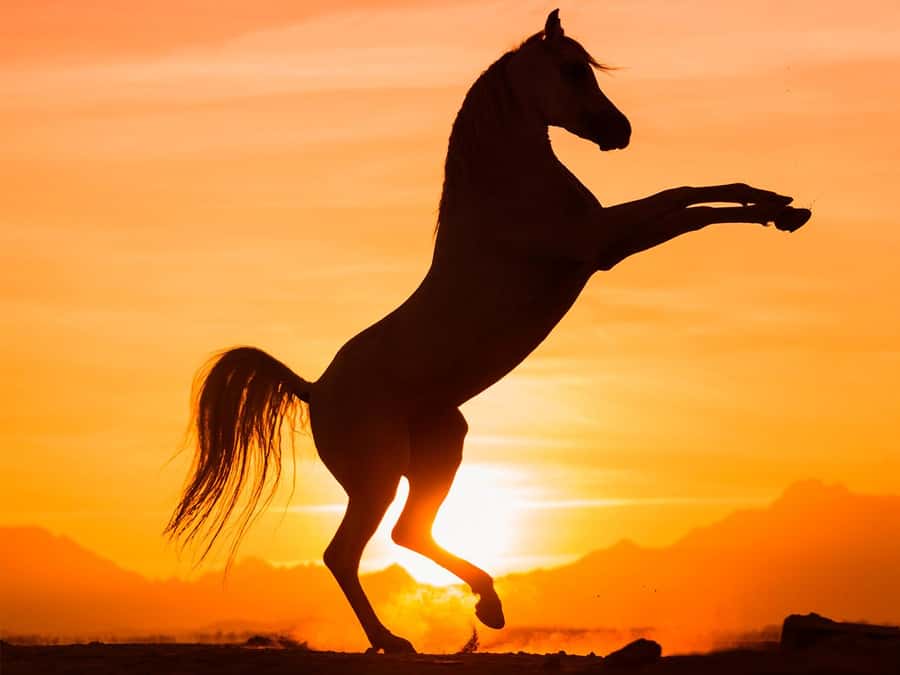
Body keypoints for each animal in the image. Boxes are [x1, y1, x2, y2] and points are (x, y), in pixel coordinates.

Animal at [165, 9, 811, 654]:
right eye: (572, 70)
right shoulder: (604, 242)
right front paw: (779, 212)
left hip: (440, 449)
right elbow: (685, 204)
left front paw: (786, 207)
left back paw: (489, 604)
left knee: (408, 533)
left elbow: (691, 195)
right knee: (345, 553)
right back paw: (395, 638)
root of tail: (314, 388)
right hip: (376, 475)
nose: (619, 131)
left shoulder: (607, 237)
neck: (507, 195)